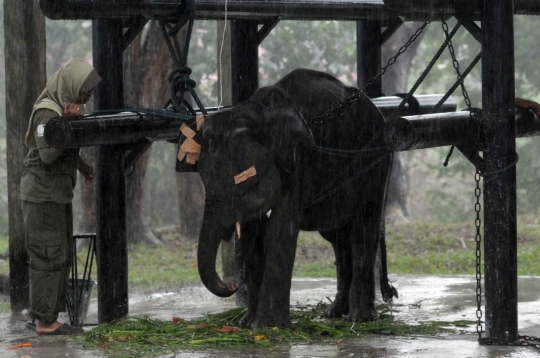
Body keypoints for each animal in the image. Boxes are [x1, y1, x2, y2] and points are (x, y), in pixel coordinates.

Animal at [179, 68, 394, 328]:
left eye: (245, 182)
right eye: (202, 177)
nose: (232, 284)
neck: (259, 113)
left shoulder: (298, 159)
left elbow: (280, 226)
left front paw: (268, 327)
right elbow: (252, 234)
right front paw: (246, 324)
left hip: (377, 157)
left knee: (365, 224)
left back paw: (361, 318)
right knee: (336, 236)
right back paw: (334, 312)